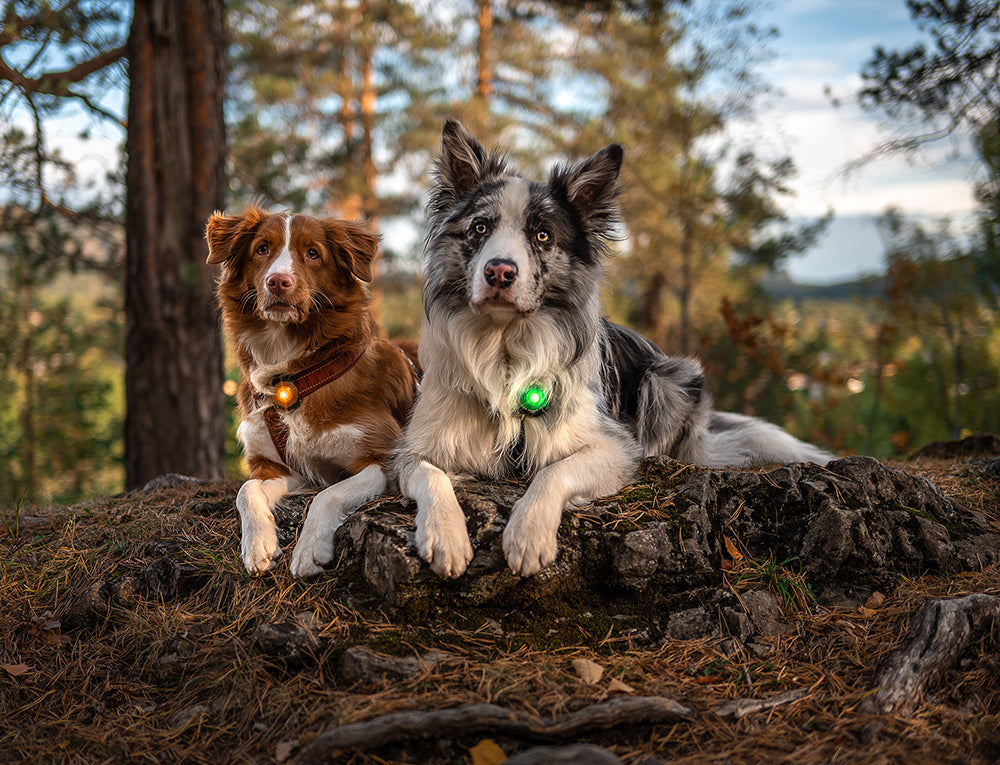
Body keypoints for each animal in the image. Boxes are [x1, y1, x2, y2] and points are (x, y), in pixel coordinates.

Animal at [394, 121, 832, 580]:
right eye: (480, 228)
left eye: (542, 235)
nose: (499, 271)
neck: (504, 348)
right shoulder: (414, 450)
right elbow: (431, 475)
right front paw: (445, 536)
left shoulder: (614, 447)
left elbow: (554, 471)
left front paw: (528, 534)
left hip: (669, 378)